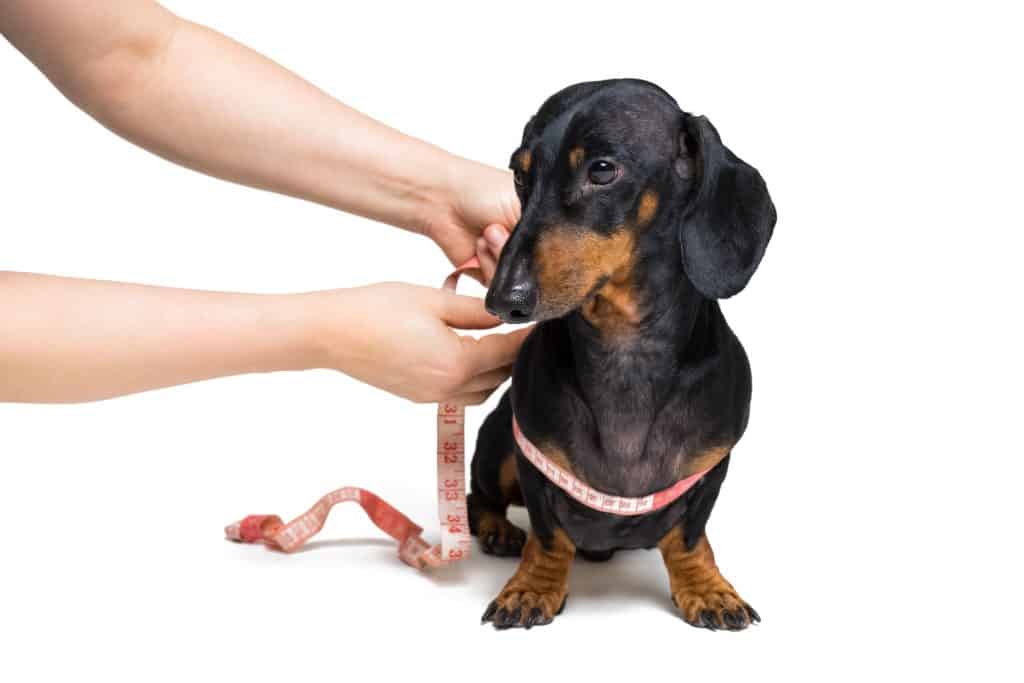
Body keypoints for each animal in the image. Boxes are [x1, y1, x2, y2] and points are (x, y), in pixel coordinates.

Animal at [466, 78, 774, 630]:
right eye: (521, 174)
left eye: (602, 170)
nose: (501, 299)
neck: (625, 346)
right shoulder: (532, 457)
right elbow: (548, 536)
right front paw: (532, 587)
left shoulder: (712, 467)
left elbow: (690, 536)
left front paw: (706, 587)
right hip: (496, 444)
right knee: (475, 497)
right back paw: (497, 529)